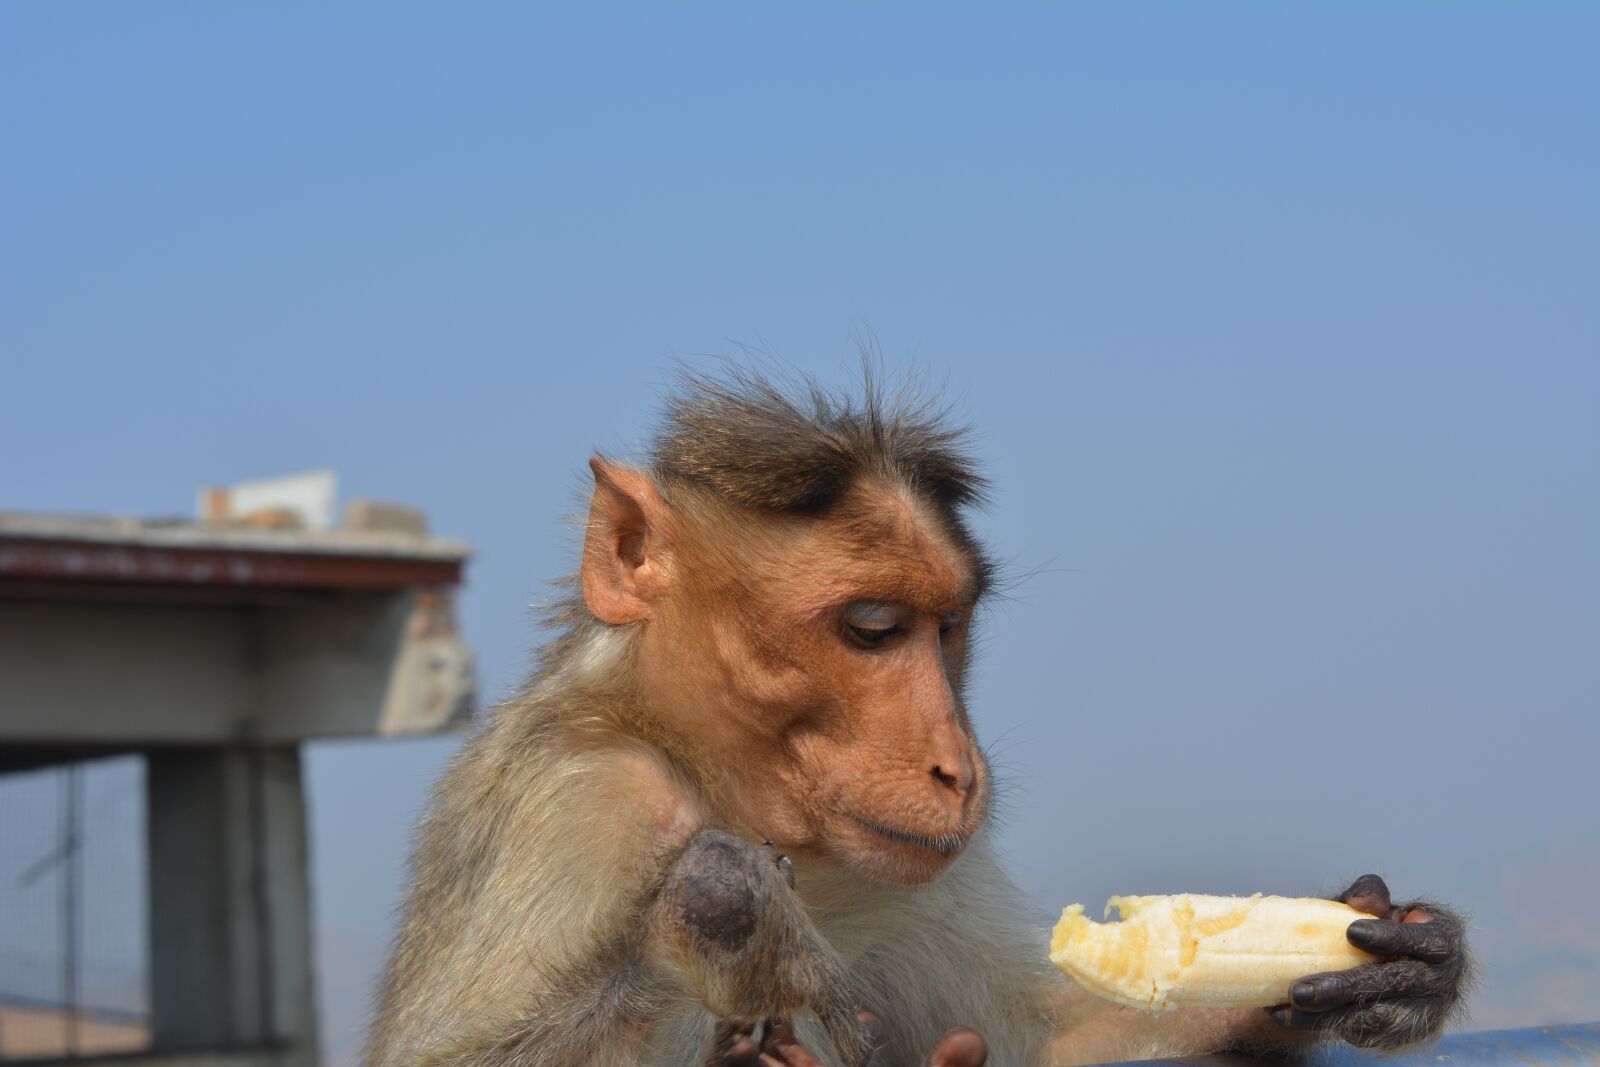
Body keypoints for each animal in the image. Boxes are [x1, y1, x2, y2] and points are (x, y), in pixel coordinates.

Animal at [367, 367, 1471, 1067]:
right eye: (872, 627)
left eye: (948, 626)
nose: (958, 766)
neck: (709, 767)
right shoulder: (578, 803)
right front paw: (721, 903)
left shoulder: (891, 876)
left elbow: (1045, 1037)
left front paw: (1402, 961)